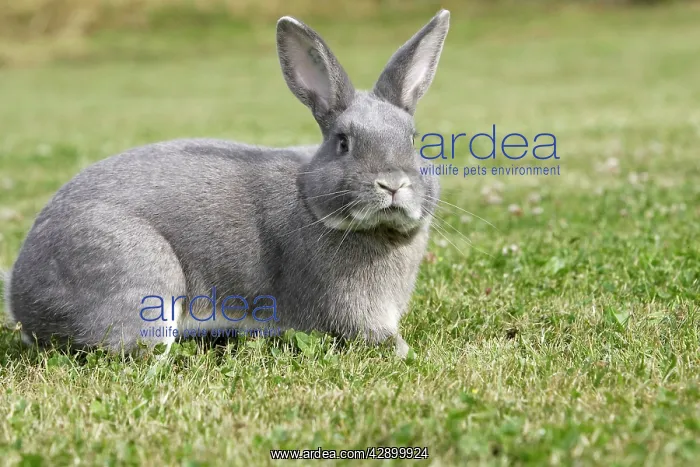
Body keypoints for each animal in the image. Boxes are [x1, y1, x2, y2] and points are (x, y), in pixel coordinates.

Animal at [4, 9, 450, 358]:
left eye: (413, 140)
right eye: (343, 143)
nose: (392, 184)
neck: (309, 201)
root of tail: (20, 295)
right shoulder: (349, 306)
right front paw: (406, 351)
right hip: (144, 282)